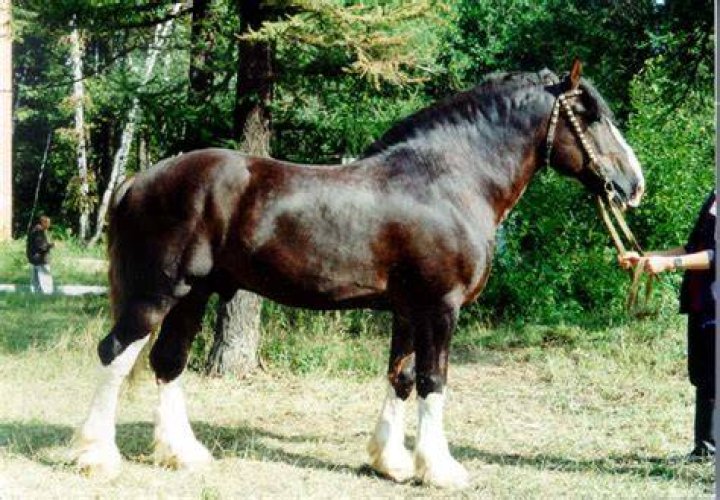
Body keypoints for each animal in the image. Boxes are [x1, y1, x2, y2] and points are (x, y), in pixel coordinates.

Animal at [72, 60, 644, 488]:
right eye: (589, 115)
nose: (632, 184)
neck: (450, 181)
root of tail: (137, 181)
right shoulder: (440, 307)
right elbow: (434, 380)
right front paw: (440, 469)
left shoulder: (408, 311)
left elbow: (401, 377)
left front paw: (391, 462)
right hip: (155, 293)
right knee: (116, 354)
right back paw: (96, 456)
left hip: (194, 295)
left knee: (168, 362)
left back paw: (183, 454)